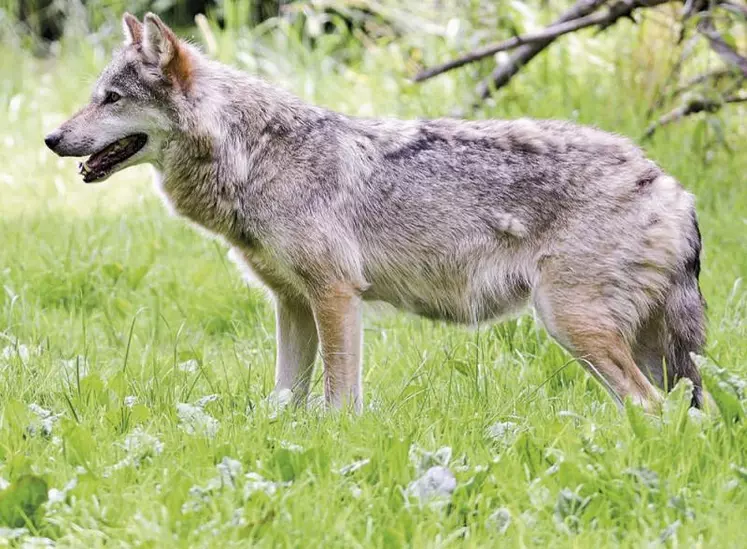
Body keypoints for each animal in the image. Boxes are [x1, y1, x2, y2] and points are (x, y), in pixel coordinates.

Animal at [43, 12, 712, 412]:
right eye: (94, 96)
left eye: (111, 98)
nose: (50, 138)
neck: (253, 156)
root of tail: (672, 185)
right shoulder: (291, 303)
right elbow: (283, 398)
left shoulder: (336, 295)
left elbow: (339, 398)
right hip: (629, 343)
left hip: (574, 326)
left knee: (652, 408)